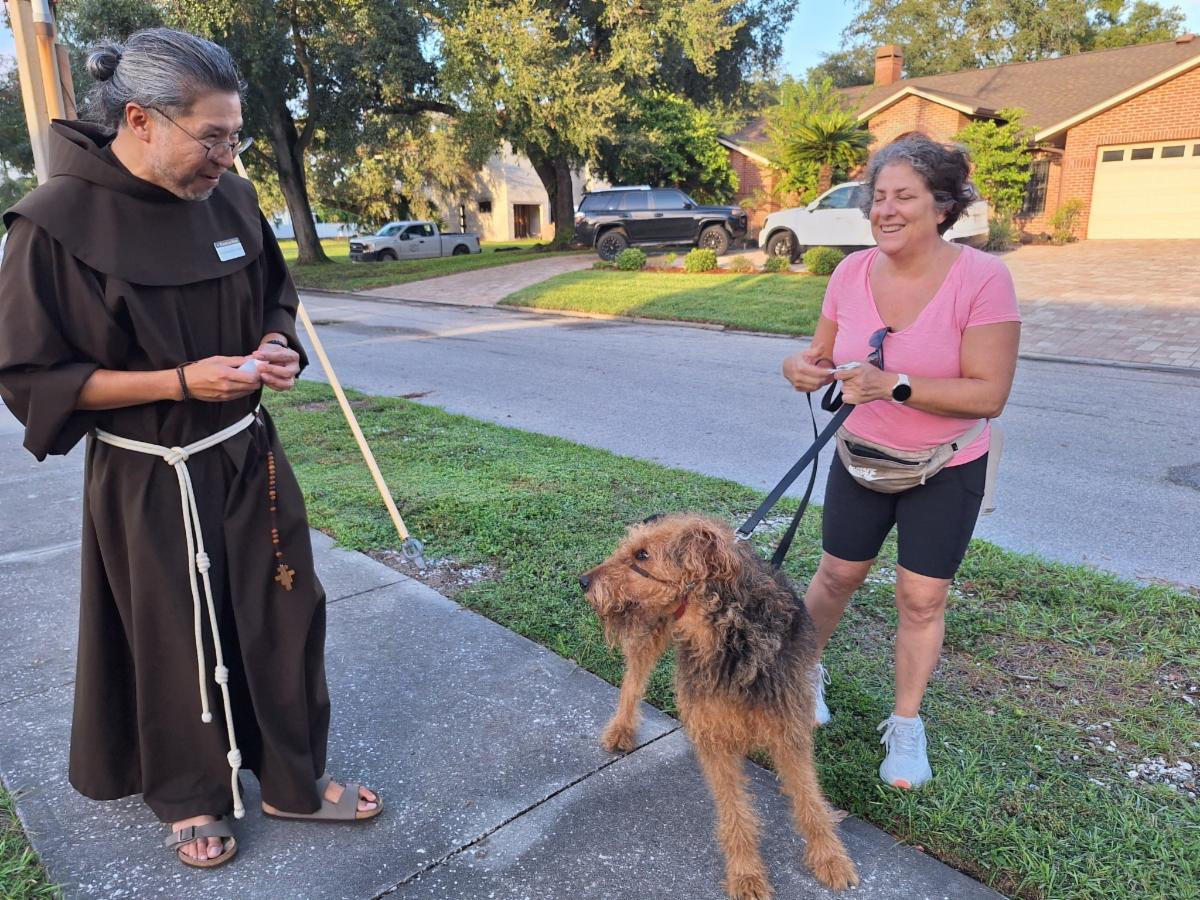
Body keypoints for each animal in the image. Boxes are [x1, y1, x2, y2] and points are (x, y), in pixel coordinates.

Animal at [580, 513, 858, 899]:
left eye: (642, 555)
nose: (583, 582)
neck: (731, 634)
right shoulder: (716, 737)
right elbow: (736, 814)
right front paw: (746, 875)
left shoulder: (788, 727)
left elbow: (810, 800)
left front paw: (830, 858)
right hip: (648, 631)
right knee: (633, 683)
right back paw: (621, 729)